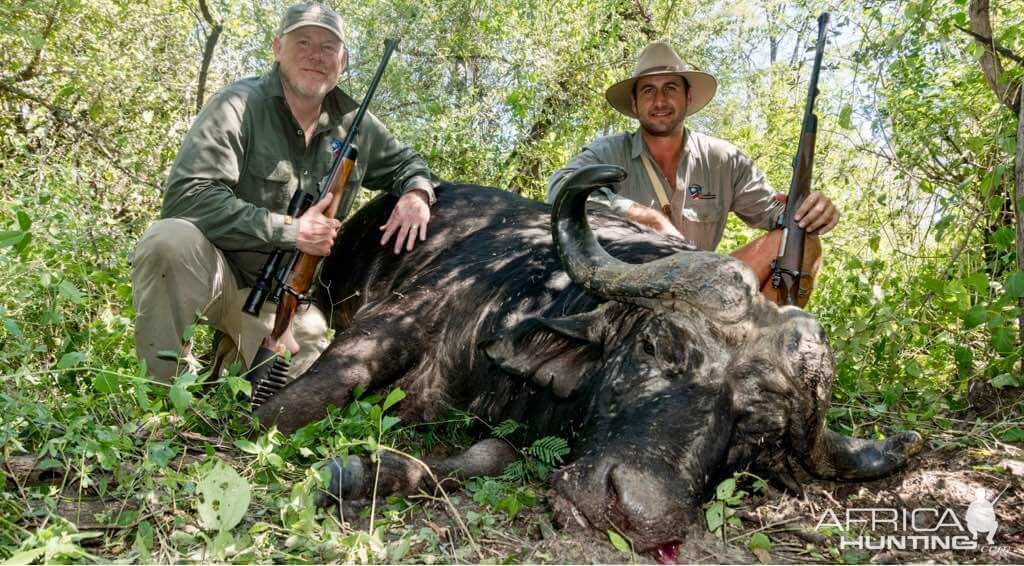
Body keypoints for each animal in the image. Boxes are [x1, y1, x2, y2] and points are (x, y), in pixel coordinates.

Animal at [251, 164, 925, 552]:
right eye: (656, 345)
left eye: (754, 435)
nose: (634, 514)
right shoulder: (399, 319)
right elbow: (287, 411)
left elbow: (490, 455)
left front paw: (364, 472)